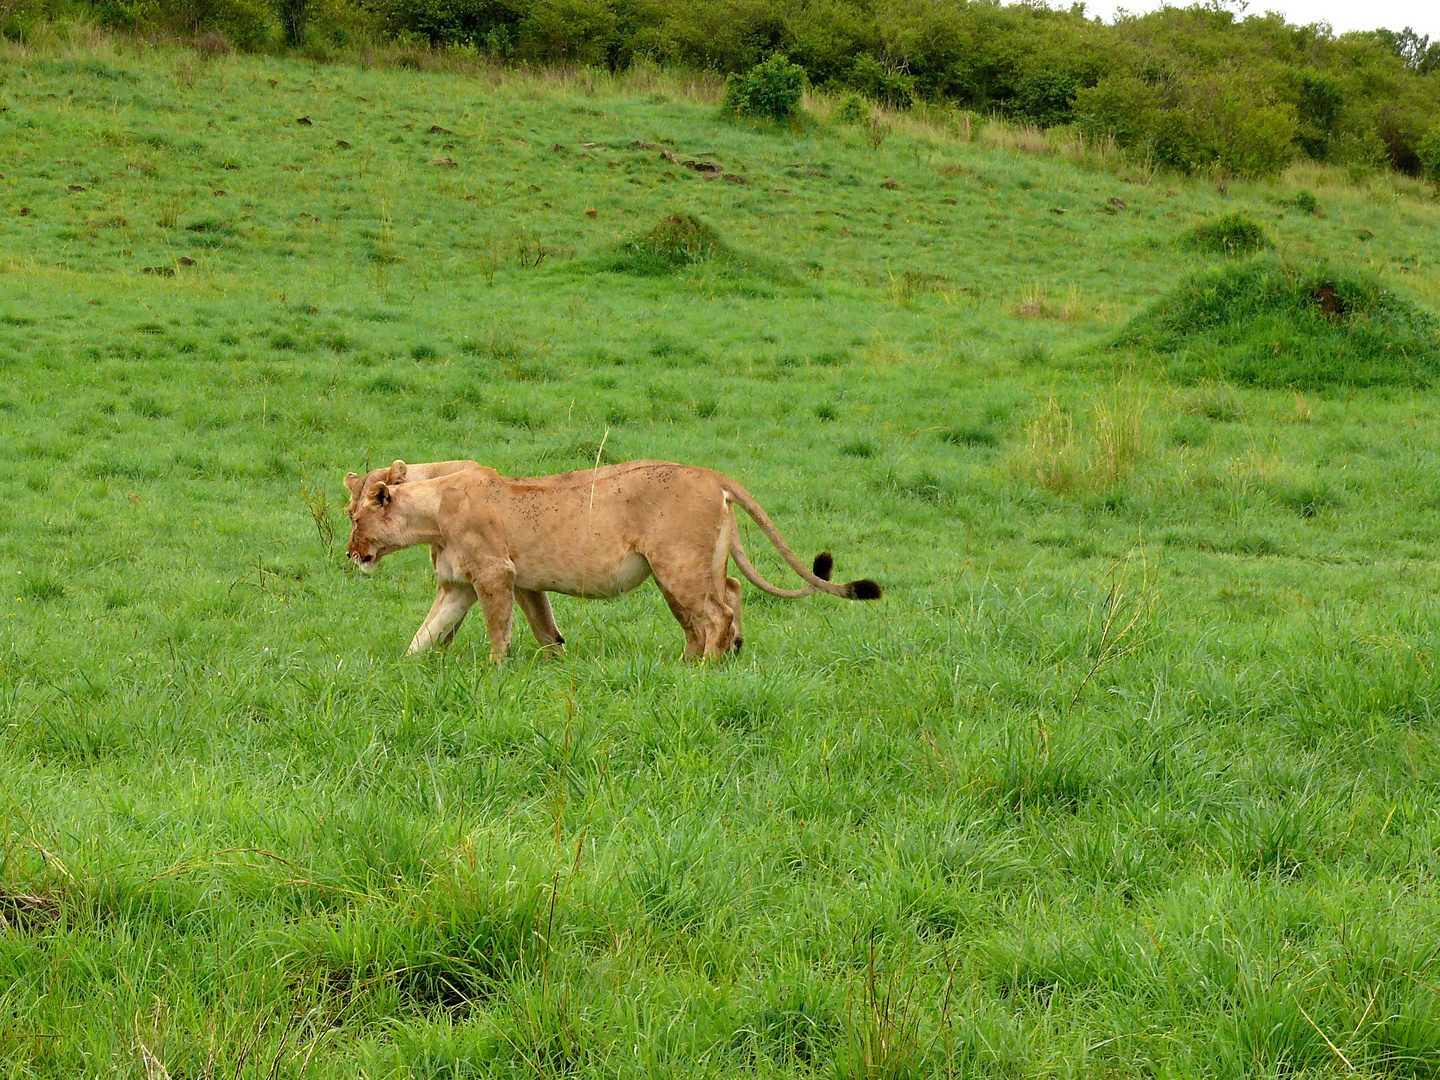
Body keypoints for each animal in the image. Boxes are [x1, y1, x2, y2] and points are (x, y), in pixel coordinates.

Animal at [344, 457, 881, 659]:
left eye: (355, 517)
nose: (351, 554)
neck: (432, 508)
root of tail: (711, 474)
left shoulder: (496, 575)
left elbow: (499, 633)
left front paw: (494, 673)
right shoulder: (480, 584)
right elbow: (425, 636)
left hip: (676, 566)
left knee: (716, 615)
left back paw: (705, 670)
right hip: (688, 568)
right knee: (724, 597)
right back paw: (705, 659)